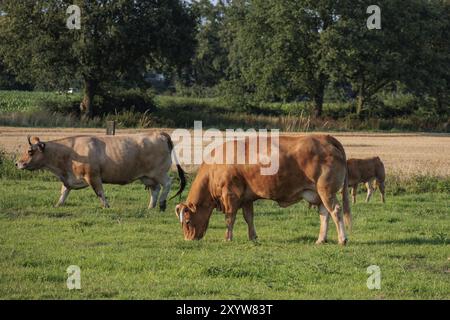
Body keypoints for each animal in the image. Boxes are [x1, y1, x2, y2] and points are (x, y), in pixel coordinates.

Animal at [15, 131, 185, 209]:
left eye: (30, 151)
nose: (17, 163)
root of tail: (158, 133)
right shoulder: (68, 178)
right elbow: (63, 193)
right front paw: (58, 205)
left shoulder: (93, 176)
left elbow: (99, 192)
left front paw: (106, 207)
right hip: (147, 176)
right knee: (155, 189)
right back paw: (151, 207)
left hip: (159, 173)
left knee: (167, 184)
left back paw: (162, 203)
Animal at [175, 134, 352, 245]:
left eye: (188, 221)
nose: (187, 240)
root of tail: (325, 137)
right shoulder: (246, 198)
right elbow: (249, 218)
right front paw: (253, 237)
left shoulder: (230, 195)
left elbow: (230, 219)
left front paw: (228, 238)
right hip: (319, 194)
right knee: (324, 214)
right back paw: (321, 239)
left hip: (326, 190)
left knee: (335, 211)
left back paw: (342, 239)